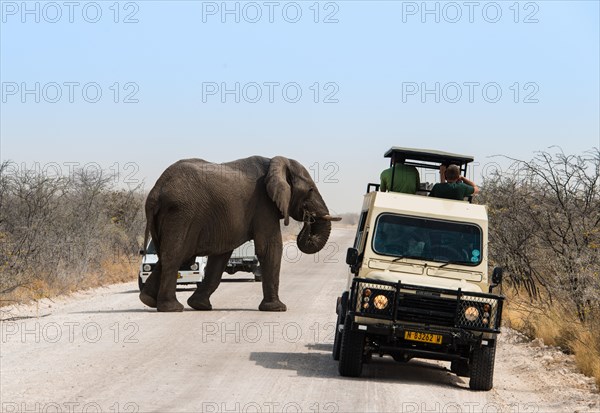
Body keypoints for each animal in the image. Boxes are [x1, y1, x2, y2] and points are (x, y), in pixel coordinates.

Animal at [138, 156, 340, 310]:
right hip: (181, 214)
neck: (277, 163)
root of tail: (156, 191)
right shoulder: (263, 205)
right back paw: (171, 308)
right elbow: (270, 248)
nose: (309, 218)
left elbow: (219, 257)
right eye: (310, 190)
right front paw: (277, 308)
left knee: (172, 256)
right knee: (175, 255)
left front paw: (200, 306)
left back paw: (148, 300)